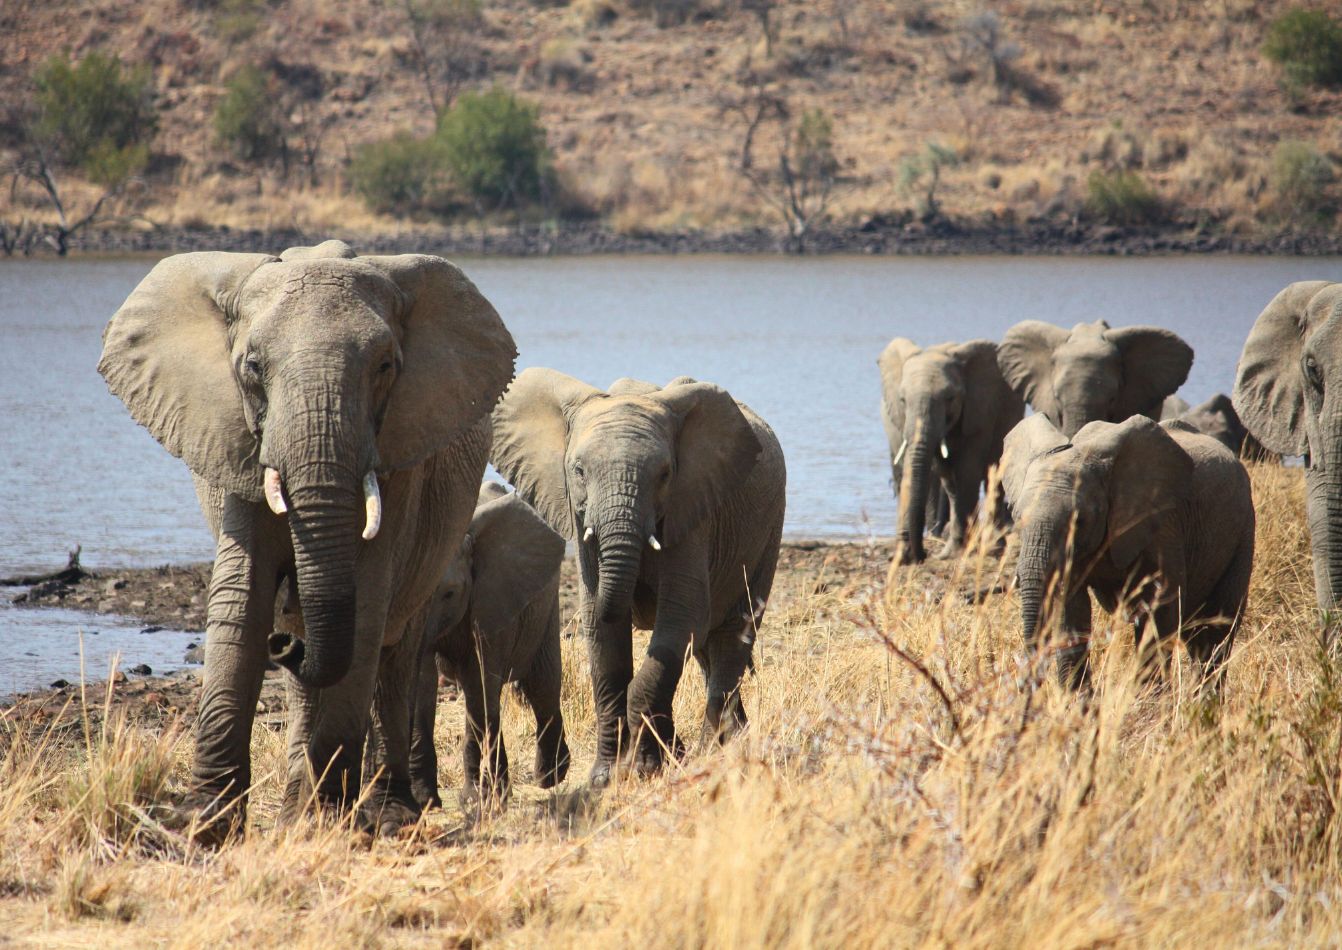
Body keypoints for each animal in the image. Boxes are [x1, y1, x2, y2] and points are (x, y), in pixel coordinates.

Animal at [97, 240, 516, 838]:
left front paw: (332, 822)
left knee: (396, 648)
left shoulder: (400, 452)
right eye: (252, 367)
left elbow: (364, 604)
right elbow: (241, 599)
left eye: (385, 367)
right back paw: (302, 801)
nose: (285, 647)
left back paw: (387, 814)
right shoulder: (236, 445)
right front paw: (202, 824)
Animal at [409, 481, 570, 810]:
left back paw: (549, 778)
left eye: (450, 593)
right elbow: (424, 684)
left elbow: (479, 683)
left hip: (546, 604)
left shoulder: (494, 597)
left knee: (543, 685)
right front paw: (424, 800)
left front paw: (475, 799)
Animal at [490, 370, 786, 785]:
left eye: (664, 475)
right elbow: (604, 639)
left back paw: (712, 752)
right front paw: (605, 777)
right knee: (706, 647)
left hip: (767, 530)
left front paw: (646, 769)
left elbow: (681, 617)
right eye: (578, 471)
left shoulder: (690, 508)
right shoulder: (579, 516)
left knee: (731, 633)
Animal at [879, 338, 1023, 564]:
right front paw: (907, 558)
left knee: (994, 476)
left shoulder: (979, 411)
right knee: (950, 482)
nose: (922, 555)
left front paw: (959, 554)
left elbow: (968, 470)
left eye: (949, 398)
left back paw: (992, 548)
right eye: (902, 400)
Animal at [1000, 414, 1254, 692]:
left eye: (1079, 521)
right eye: (1017, 517)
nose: (1024, 683)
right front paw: (1076, 703)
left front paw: (1149, 700)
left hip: (1243, 531)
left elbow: (1160, 610)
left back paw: (1204, 701)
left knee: (1217, 629)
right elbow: (1070, 609)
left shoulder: (1163, 525)